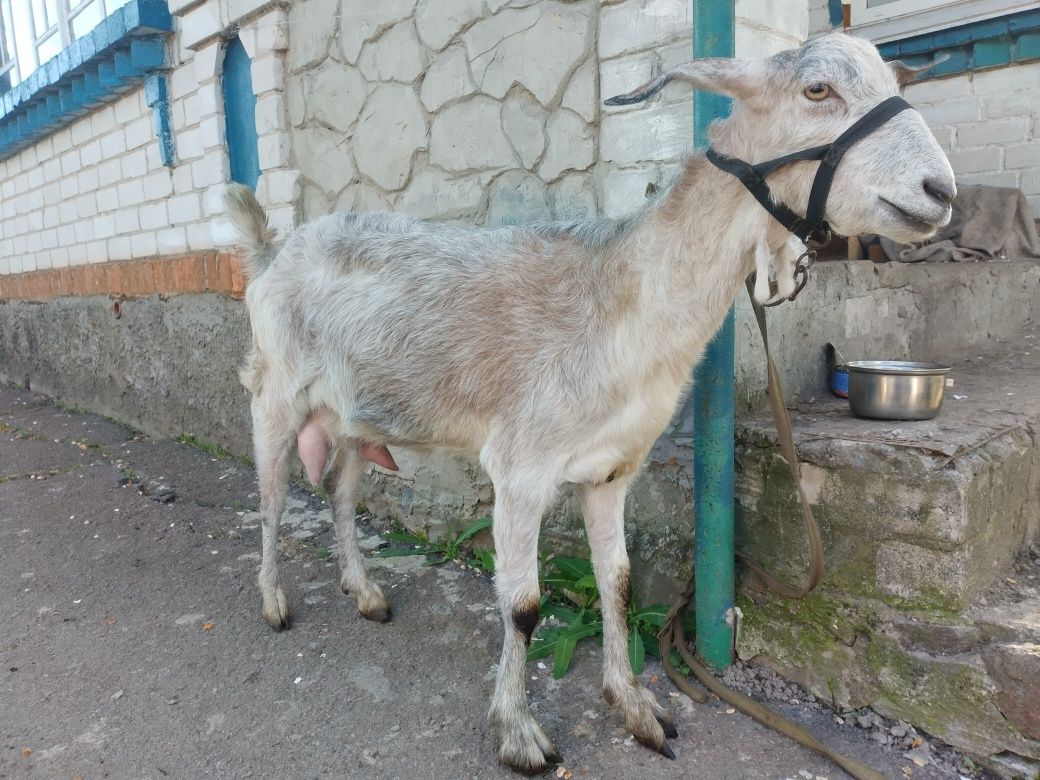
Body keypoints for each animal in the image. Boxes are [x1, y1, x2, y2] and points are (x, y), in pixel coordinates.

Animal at [223, 32, 952, 777]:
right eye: (817, 90)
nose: (941, 191)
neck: (619, 298)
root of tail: (270, 248)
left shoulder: (611, 471)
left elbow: (620, 582)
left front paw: (634, 705)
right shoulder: (519, 469)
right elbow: (522, 604)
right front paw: (518, 732)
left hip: (351, 416)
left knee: (340, 492)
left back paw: (364, 591)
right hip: (275, 395)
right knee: (273, 499)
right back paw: (274, 601)